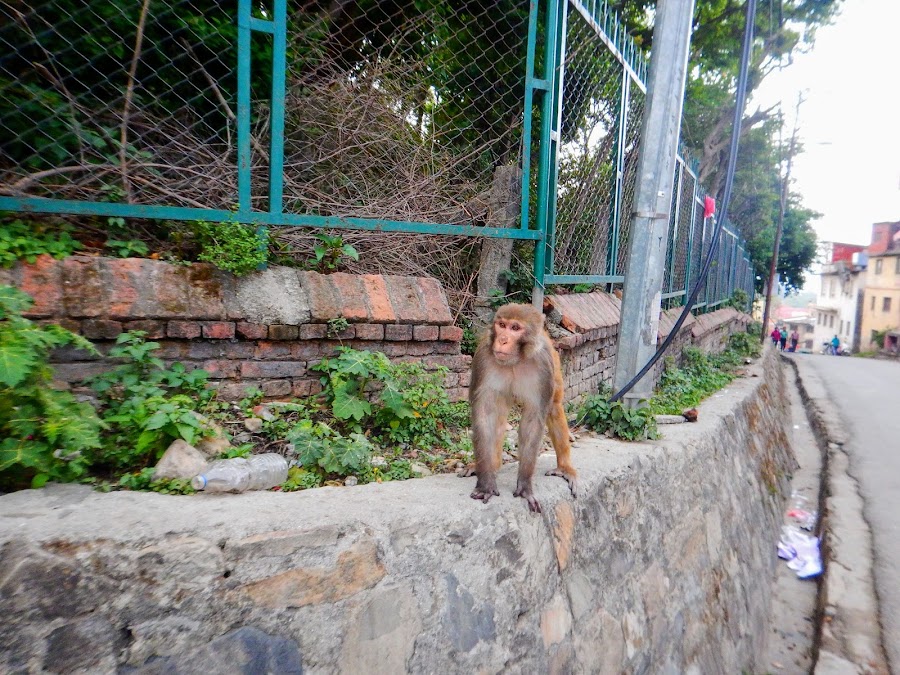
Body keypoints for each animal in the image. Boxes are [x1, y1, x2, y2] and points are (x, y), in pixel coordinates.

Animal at [460, 304, 580, 516]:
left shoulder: (543, 365)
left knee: (554, 407)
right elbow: (486, 416)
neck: (515, 360)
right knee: (499, 417)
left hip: (555, 365)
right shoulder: (483, 357)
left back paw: (564, 468)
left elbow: (533, 420)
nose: (502, 339)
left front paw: (524, 486)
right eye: (501, 325)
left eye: (515, 328)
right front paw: (486, 484)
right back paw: (492, 465)